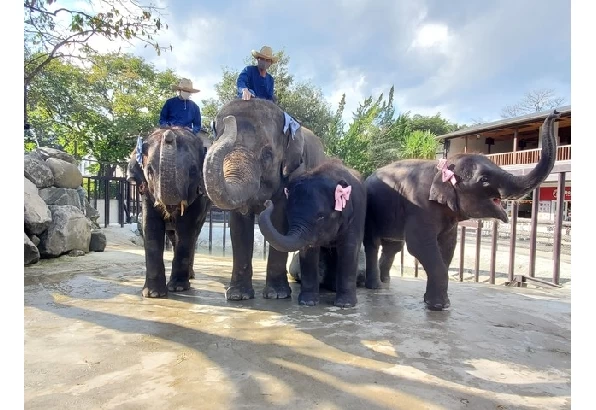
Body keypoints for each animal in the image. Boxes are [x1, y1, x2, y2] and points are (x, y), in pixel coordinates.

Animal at [125, 126, 212, 296]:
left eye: (193, 171)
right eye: (149, 170)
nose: (169, 134)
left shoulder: (198, 197)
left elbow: (186, 229)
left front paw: (178, 288)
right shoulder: (146, 193)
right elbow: (150, 226)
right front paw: (153, 294)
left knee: (193, 234)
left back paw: (189, 276)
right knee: (173, 236)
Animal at [204, 97, 326, 300]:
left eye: (267, 154)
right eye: (216, 140)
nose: (229, 120)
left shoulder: (292, 176)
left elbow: (279, 221)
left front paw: (277, 295)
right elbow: (239, 226)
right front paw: (238, 296)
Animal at [258, 159, 366, 306]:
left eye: (320, 216)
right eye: (288, 213)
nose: (267, 202)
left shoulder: (357, 212)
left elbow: (349, 248)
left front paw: (345, 304)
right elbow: (309, 251)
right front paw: (307, 302)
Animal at [360, 109, 560, 310]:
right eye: (484, 179)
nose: (555, 113)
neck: (440, 169)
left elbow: (448, 247)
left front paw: (437, 303)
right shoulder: (420, 207)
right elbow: (420, 246)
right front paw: (438, 306)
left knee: (392, 247)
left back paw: (385, 282)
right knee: (374, 244)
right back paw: (375, 286)